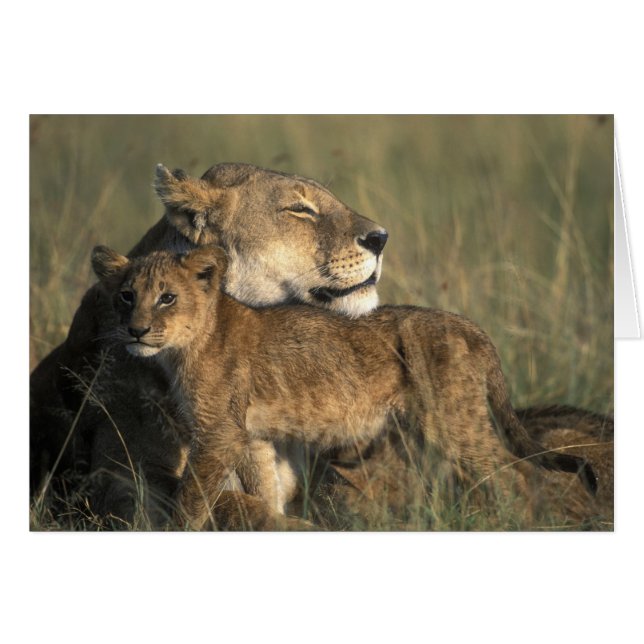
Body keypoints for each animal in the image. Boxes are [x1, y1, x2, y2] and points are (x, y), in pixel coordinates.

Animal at [90, 245, 596, 530]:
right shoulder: (253, 437)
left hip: (453, 421)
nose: (135, 330)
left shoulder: (219, 434)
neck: (187, 345)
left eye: (167, 297)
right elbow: (266, 493)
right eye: (126, 296)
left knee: (515, 476)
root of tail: (470, 326)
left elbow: (191, 499)